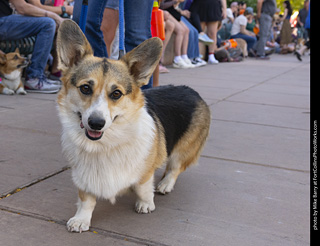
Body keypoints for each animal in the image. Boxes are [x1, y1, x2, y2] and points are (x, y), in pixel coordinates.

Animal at [56, 20, 211, 233]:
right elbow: (86, 200)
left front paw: (145, 204)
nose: (96, 123)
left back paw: (165, 185)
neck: (106, 144)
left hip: (183, 149)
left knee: (175, 167)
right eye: (85, 88)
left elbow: (143, 186)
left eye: (116, 94)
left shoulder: (145, 170)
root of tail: (191, 90)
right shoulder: (84, 177)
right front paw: (81, 219)